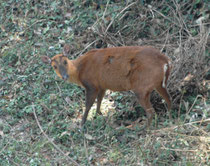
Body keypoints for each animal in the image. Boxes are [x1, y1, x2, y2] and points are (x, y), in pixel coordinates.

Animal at [41, 45, 171, 128]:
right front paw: (99, 114)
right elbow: (100, 99)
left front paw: (82, 124)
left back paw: (144, 129)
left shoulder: (91, 84)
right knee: (169, 100)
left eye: (65, 61)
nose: (64, 76)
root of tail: (166, 61)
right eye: (54, 66)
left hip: (141, 86)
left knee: (151, 111)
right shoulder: (102, 85)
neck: (79, 71)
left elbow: (88, 105)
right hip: (158, 83)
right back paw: (169, 117)